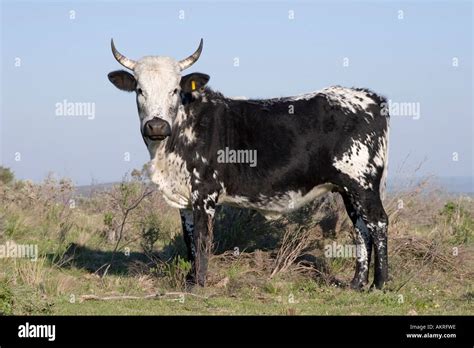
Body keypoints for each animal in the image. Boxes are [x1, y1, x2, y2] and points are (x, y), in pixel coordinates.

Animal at [109, 38, 390, 290]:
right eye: (140, 90)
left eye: (175, 90)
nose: (156, 126)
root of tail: (369, 97)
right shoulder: (185, 198)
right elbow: (189, 239)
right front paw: (190, 279)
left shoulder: (205, 193)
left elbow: (201, 237)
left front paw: (198, 283)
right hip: (348, 189)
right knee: (360, 228)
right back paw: (356, 283)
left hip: (363, 184)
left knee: (378, 223)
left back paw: (380, 283)